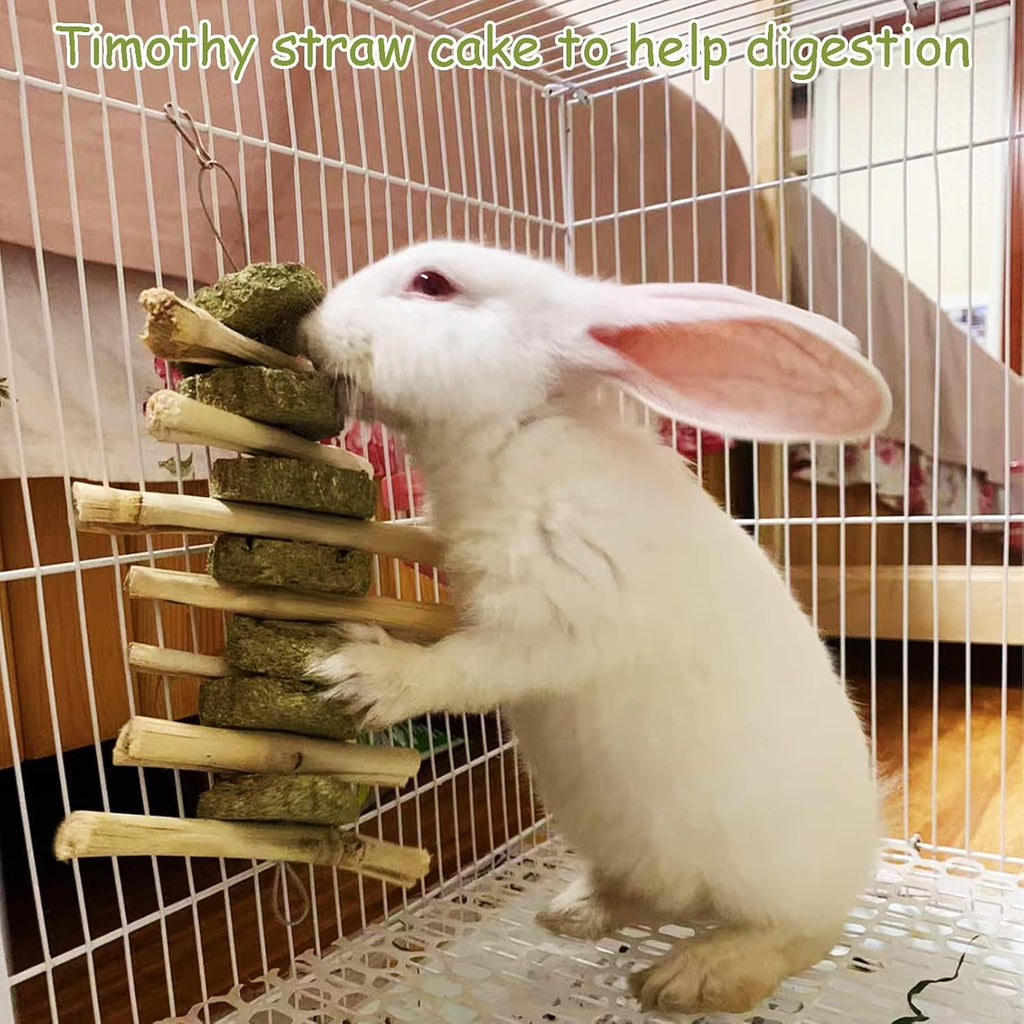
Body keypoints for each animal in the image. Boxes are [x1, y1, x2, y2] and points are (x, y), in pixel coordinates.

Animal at [298, 239, 892, 1017]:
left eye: (432, 284)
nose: (309, 328)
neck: (515, 431)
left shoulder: (552, 623)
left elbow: (460, 668)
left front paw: (359, 673)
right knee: (647, 898)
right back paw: (573, 912)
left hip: (775, 885)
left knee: (799, 938)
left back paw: (691, 976)